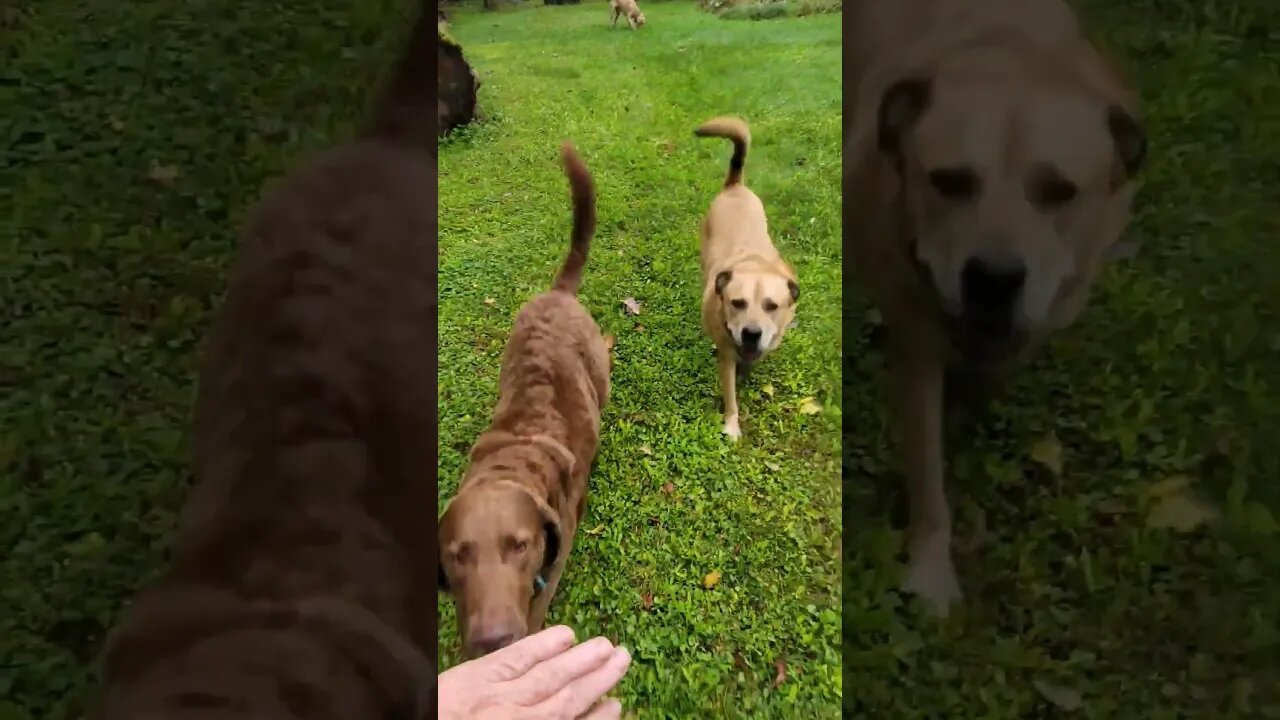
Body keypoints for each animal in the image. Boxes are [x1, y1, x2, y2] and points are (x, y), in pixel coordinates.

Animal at [440, 142, 609, 661]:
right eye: (458, 556)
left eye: (519, 546)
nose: (491, 642)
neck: (511, 463)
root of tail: (558, 293)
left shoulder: (558, 551)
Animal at [696, 115, 793, 440]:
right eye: (736, 302)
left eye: (772, 306)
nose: (752, 333)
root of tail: (735, 186)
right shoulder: (726, 355)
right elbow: (730, 396)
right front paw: (731, 425)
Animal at [844, 0, 1146, 614]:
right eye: (949, 181)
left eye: (1059, 192)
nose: (993, 279)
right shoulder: (916, 341)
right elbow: (927, 474)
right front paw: (931, 570)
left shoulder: (1038, 316)